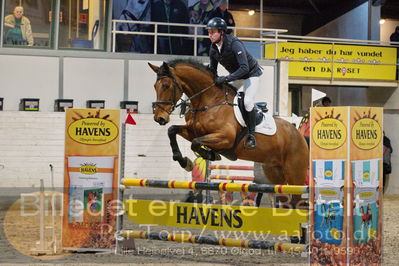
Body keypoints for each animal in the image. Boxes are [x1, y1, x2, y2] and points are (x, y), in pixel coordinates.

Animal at [148, 59, 308, 207]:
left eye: (166, 85)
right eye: (155, 86)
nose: (159, 118)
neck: (208, 101)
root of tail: (299, 134)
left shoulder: (225, 138)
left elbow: (196, 143)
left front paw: (211, 155)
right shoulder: (193, 131)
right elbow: (172, 130)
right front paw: (184, 161)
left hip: (295, 174)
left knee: (298, 200)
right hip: (274, 172)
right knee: (287, 200)